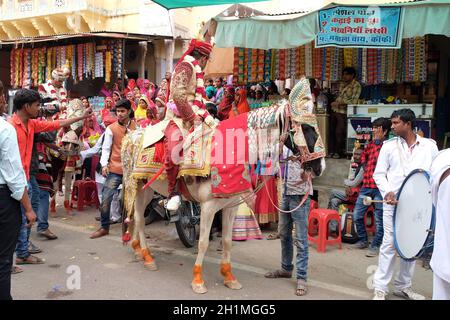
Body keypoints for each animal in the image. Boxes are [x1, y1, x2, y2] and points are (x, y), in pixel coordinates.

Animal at [121, 77, 326, 292]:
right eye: (306, 128)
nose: (320, 166)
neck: (231, 151)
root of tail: (131, 136)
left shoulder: (230, 206)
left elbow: (227, 241)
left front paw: (229, 277)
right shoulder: (208, 207)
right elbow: (203, 242)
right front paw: (198, 280)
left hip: (145, 189)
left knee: (136, 218)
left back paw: (138, 250)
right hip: (137, 186)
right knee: (139, 219)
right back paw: (147, 256)